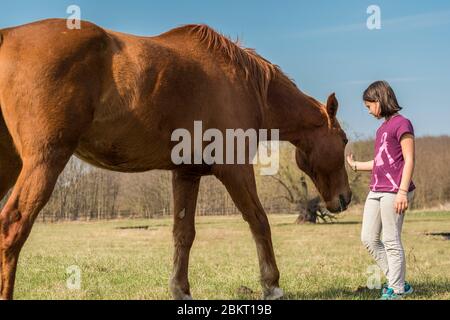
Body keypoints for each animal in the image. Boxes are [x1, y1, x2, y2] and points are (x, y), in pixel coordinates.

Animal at [0, 19, 352, 300]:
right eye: (345, 140)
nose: (346, 198)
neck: (245, 83)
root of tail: (8, 35)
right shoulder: (235, 169)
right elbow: (259, 222)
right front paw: (272, 285)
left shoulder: (186, 174)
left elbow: (183, 235)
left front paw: (180, 289)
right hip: (46, 160)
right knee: (13, 225)